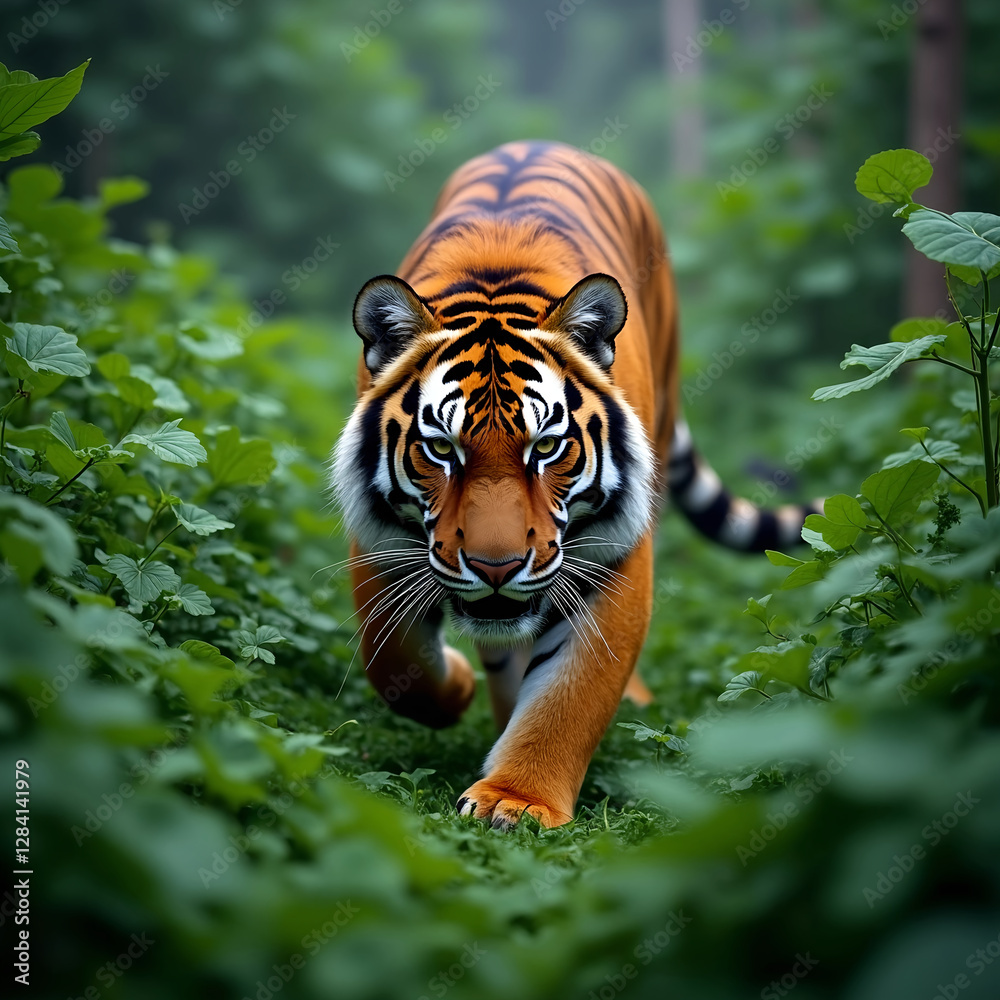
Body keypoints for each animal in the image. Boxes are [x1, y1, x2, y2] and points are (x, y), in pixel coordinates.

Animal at [332, 140, 818, 829]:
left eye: (546, 448)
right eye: (442, 449)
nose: (498, 567)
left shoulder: (613, 553)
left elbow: (573, 692)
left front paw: (517, 798)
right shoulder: (380, 538)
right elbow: (392, 659)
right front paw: (456, 689)